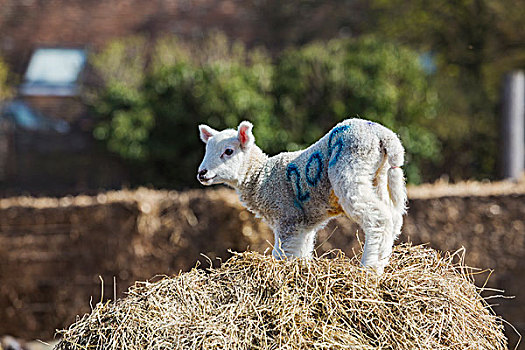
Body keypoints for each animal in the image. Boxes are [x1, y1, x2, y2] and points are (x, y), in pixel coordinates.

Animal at [196, 117, 406, 274]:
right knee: (393, 219)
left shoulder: (288, 217)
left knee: (378, 219)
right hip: (378, 176)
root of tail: (384, 135)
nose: (202, 173)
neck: (261, 176)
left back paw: (369, 268)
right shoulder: (303, 225)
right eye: (206, 150)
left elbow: (283, 253)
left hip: (351, 166)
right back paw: (382, 261)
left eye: (228, 151)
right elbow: (302, 251)